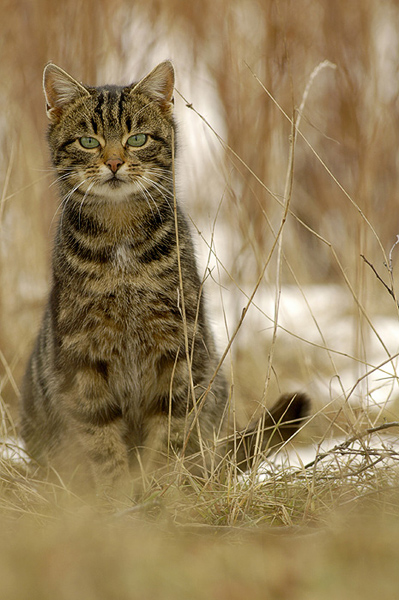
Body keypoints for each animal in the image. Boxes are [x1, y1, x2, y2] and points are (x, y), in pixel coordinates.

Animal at [20, 59, 310, 496]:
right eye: (88, 141)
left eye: (137, 138)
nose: (114, 162)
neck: (121, 240)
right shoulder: (83, 356)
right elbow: (101, 441)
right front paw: (117, 497)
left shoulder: (177, 352)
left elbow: (169, 434)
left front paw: (161, 491)